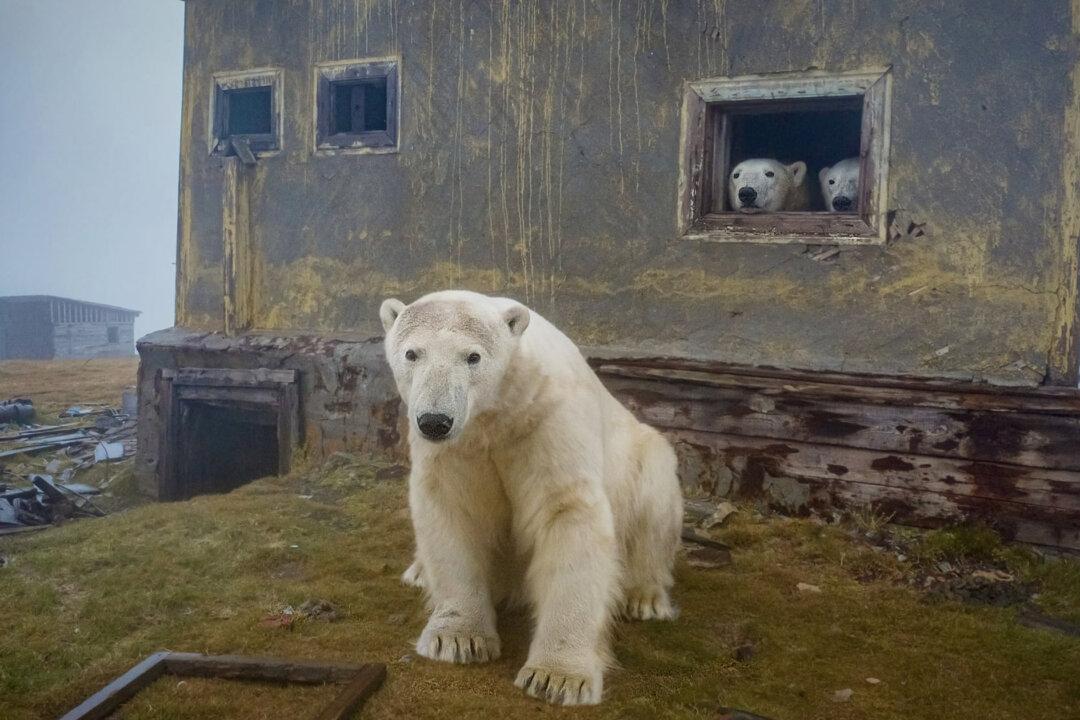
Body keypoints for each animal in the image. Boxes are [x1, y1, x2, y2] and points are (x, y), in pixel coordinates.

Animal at [379, 290, 683, 706]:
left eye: (472, 357)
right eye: (412, 353)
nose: (435, 421)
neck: (498, 413)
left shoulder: (547, 421)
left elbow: (567, 513)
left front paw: (558, 677)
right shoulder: (458, 448)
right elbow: (452, 510)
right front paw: (457, 639)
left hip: (643, 457)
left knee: (654, 504)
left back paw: (645, 597)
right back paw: (419, 572)